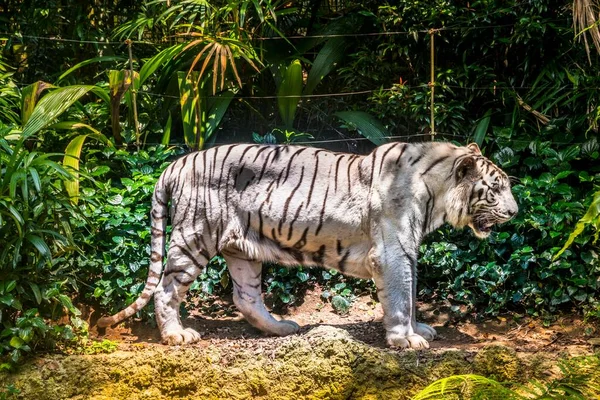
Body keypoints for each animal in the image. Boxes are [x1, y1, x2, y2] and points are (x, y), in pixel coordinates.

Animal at [97, 142, 516, 348]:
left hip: (241, 249)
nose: (514, 211)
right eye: (495, 188)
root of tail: (176, 164)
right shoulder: (393, 251)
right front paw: (405, 340)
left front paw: (418, 329)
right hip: (196, 236)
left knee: (245, 297)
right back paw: (175, 335)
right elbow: (400, 297)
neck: (436, 196)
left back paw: (281, 329)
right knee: (165, 289)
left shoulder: (408, 250)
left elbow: (411, 295)